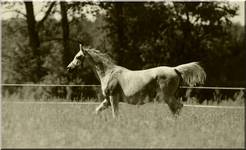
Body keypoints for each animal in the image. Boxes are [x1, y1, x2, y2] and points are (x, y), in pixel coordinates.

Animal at [67, 44, 206, 118]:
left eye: (78, 57)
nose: (69, 68)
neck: (108, 73)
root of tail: (174, 69)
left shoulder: (113, 97)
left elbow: (115, 114)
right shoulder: (107, 100)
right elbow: (97, 111)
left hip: (167, 96)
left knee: (176, 108)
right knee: (177, 108)